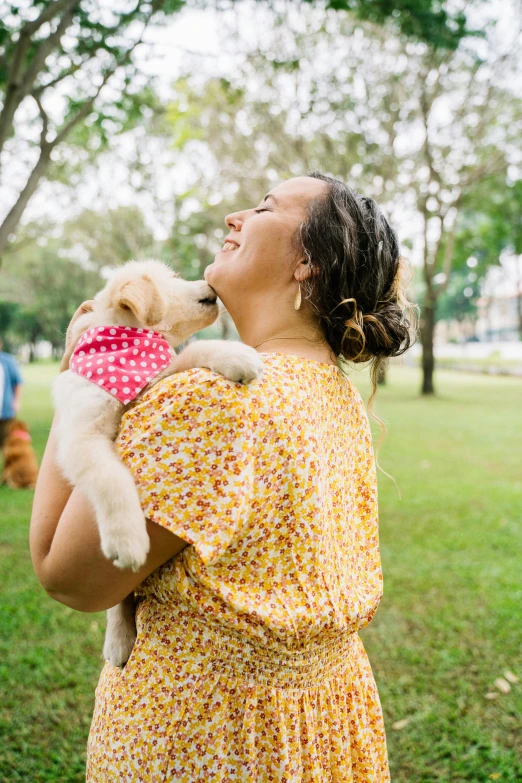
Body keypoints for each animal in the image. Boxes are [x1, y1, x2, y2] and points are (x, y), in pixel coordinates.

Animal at [53, 258, 264, 668]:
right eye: (173, 279)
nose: (210, 283)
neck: (125, 348)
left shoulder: (156, 378)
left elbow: (187, 356)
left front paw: (235, 355)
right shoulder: (81, 438)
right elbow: (111, 478)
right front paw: (128, 538)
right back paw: (118, 639)